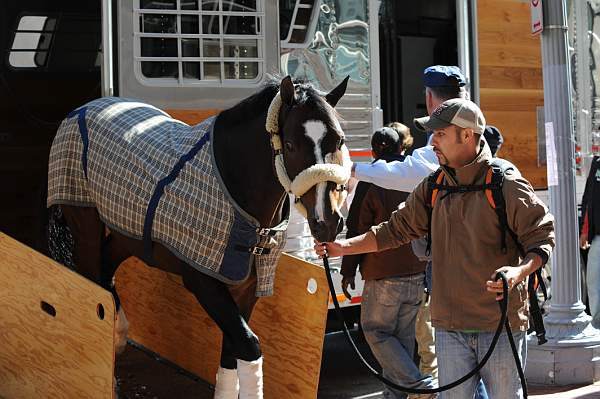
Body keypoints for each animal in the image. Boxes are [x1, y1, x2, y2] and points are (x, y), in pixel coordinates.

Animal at [47, 76, 352, 399]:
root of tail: (84, 108)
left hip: (126, 234)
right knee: (93, 279)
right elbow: (249, 345)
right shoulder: (203, 281)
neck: (234, 185)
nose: (327, 221)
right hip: (86, 225)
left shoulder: (246, 288)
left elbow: (231, 353)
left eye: (339, 141)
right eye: (291, 145)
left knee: (106, 270)